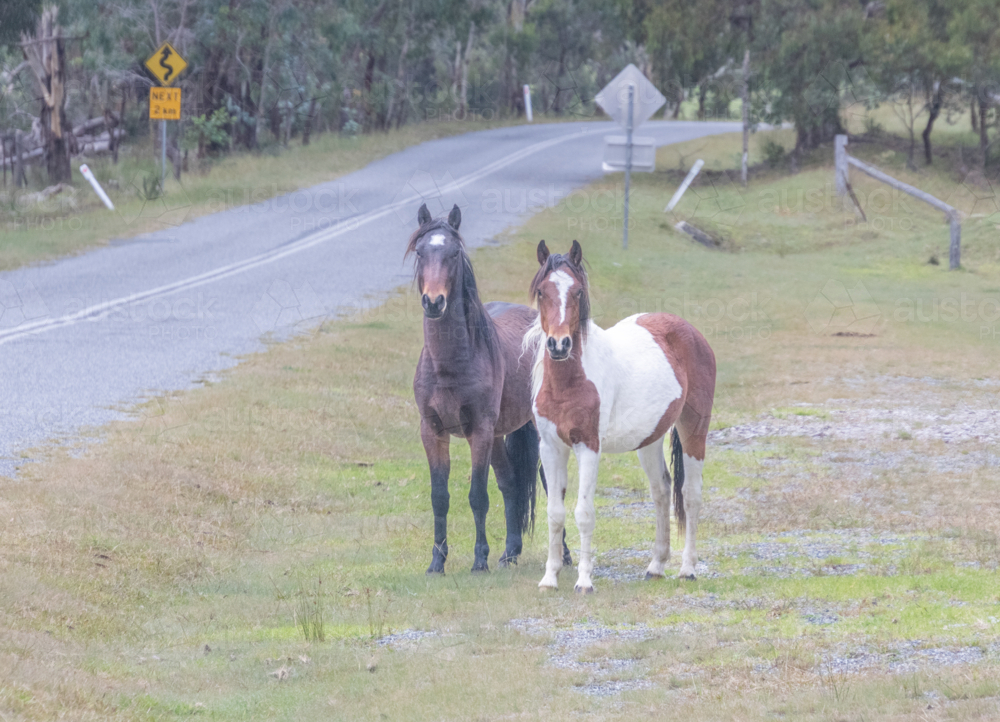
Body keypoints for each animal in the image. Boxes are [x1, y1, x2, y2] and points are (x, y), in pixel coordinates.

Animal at [408, 204, 571, 574]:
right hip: (498, 435)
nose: (433, 302)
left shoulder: (479, 432)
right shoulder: (432, 432)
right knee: (510, 483)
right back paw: (509, 553)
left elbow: (477, 496)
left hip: (530, 430)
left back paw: (565, 554)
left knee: (548, 483)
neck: (450, 363)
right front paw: (436, 561)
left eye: (454, 253)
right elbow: (440, 497)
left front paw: (479, 559)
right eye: (421, 251)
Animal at [525, 240, 716, 593]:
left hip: (694, 429)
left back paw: (687, 569)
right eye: (542, 291)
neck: (569, 381)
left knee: (690, 495)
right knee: (661, 491)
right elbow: (555, 513)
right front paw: (549, 578)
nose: (559, 345)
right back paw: (656, 566)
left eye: (577, 291)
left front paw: (584, 581)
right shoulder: (550, 448)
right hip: (650, 440)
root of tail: (689, 330)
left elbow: (583, 512)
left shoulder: (588, 447)